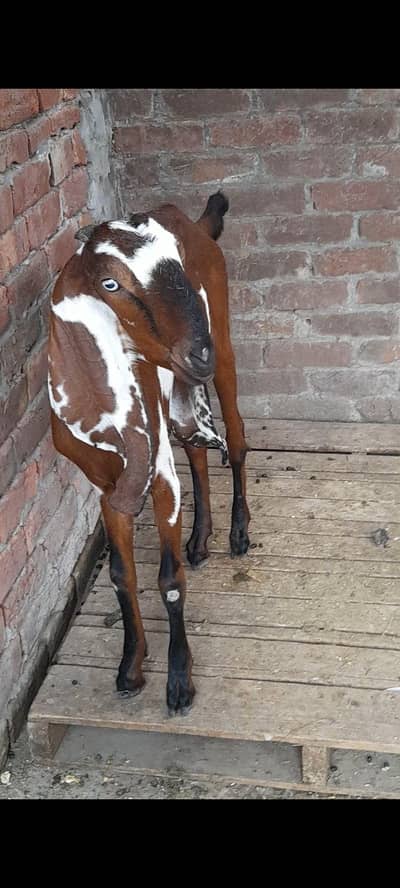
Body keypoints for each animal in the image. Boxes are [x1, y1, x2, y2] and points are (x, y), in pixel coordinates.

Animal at [48, 192, 250, 714]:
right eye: (110, 283)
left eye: (176, 261)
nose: (198, 351)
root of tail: (198, 224)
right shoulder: (105, 486)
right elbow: (122, 575)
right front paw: (130, 666)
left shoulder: (157, 475)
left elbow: (170, 580)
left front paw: (179, 682)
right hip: (178, 389)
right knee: (194, 448)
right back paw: (200, 540)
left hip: (224, 350)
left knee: (236, 439)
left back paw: (238, 532)